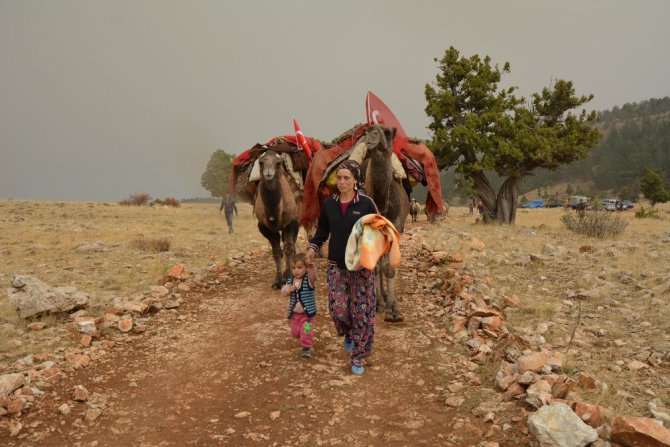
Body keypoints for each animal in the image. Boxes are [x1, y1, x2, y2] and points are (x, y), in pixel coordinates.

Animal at [255, 150, 302, 290]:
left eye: (278, 163)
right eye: (261, 162)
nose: (268, 172)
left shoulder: (290, 223)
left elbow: (288, 249)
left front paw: (289, 276)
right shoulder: (265, 228)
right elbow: (276, 252)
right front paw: (277, 281)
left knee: (291, 244)